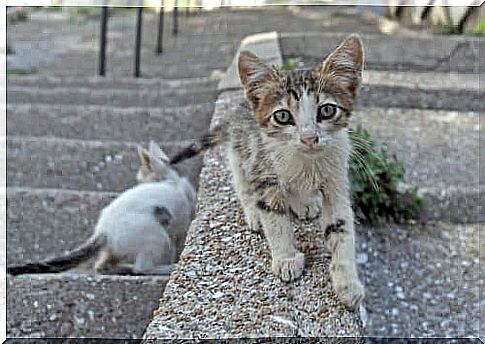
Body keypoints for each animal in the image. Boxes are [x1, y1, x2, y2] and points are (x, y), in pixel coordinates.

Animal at [170, 35, 364, 310]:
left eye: (327, 110)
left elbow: (341, 227)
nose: (309, 138)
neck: (305, 162)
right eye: (282, 116)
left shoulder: (336, 180)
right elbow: (275, 217)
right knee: (243, 184)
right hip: (243, 152)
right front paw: (286, 258)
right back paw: (254, 213)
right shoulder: (264, 171)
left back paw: (304, 203)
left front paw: (347, 283)